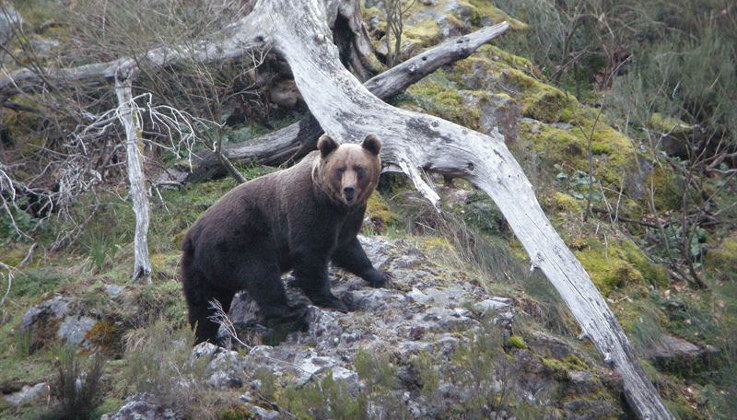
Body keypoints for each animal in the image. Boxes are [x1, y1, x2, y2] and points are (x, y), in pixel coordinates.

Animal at [181, 135, 392, 344]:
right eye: (339, 169)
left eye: (359, 168)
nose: (349, 190)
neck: (334, 205)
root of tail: (193, 236)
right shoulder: (310, 211)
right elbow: (310, 255)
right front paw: (332, 300)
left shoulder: (347, 220)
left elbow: (349, 249)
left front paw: (380, 275)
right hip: (239, 243)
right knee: (262, 276)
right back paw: (292, 310)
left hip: (198, 268)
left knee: (204, 304)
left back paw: (208, 338)